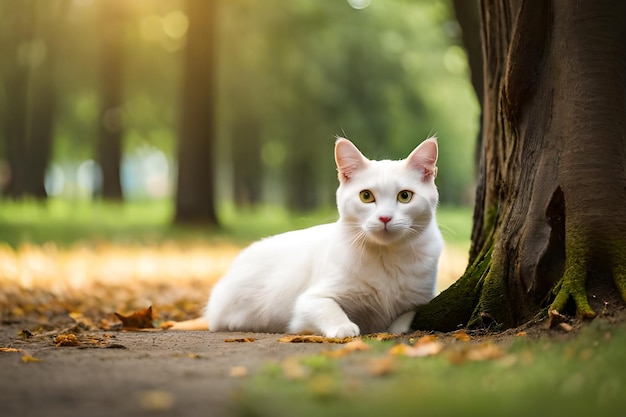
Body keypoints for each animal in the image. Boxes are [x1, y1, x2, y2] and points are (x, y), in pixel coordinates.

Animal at [202, 138, 442, 336]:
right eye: (366, 196)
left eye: (405, 196)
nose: (385, 217)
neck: (386, 257)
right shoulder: (309, 300)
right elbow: (328, 308)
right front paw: (344, 327)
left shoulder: (423, 299)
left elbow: (404, 318)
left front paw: (396, 327)